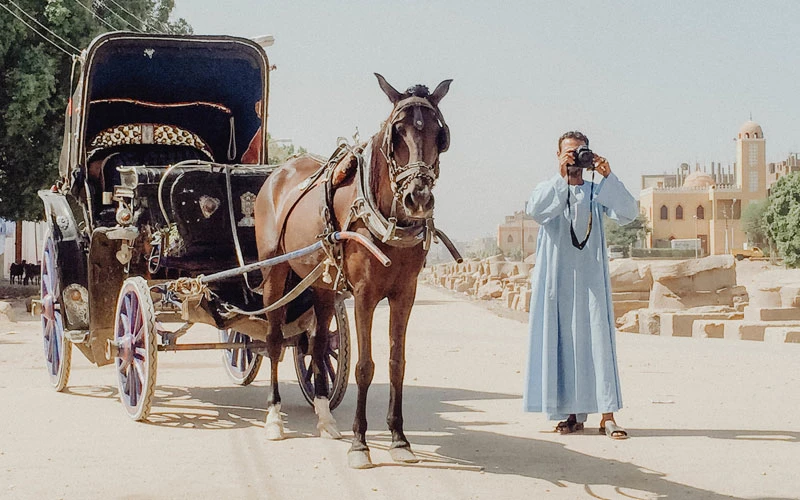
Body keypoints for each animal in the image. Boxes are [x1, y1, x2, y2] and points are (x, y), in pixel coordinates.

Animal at [254, 73, 451, 468]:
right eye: (397, 132)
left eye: (440, 134)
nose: (419, 198)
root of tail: (276, 174)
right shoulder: (363, 294)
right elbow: (364, 366)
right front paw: (360, 444)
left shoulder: (405, 294)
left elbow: (396, 362)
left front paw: (399, 439)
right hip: (275, 272)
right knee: (273, 341)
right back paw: (274, 417)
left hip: (322, 284)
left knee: (316, 345)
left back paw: (325, 417)